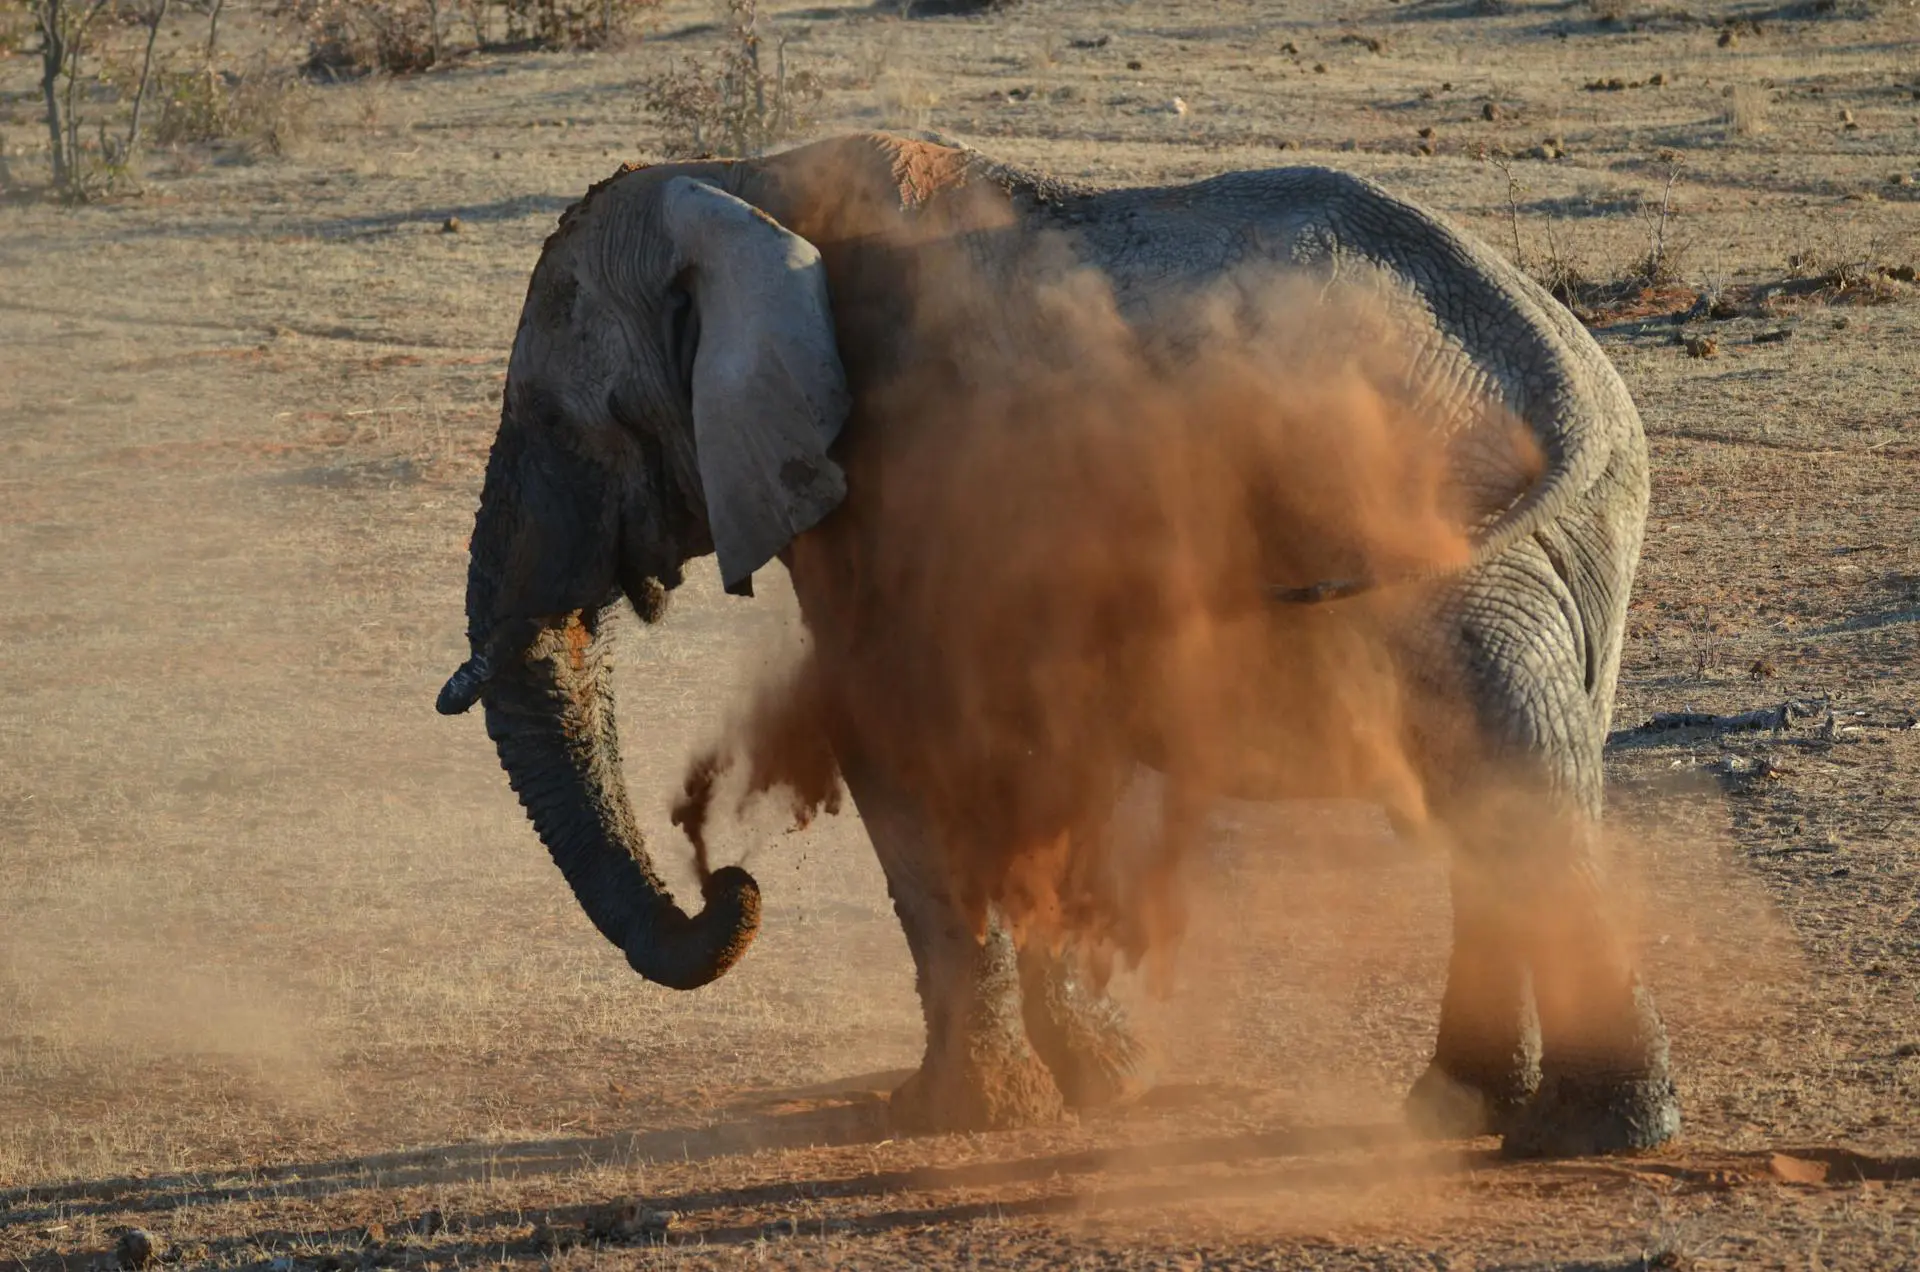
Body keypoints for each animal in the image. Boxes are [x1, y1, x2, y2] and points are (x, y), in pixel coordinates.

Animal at [436, 131, 1678, 1158]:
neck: (744, 185)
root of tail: (1561, 368)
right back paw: (1463, 1116)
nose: (726, 883)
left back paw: (1583, 1136)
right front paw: (1103, 1085)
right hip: (1564, 543)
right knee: (1511, 786)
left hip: (1441, 540)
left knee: (1512, 780)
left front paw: (954, 1116)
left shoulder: (912, 472)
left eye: (570, 425)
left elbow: (909, 741)